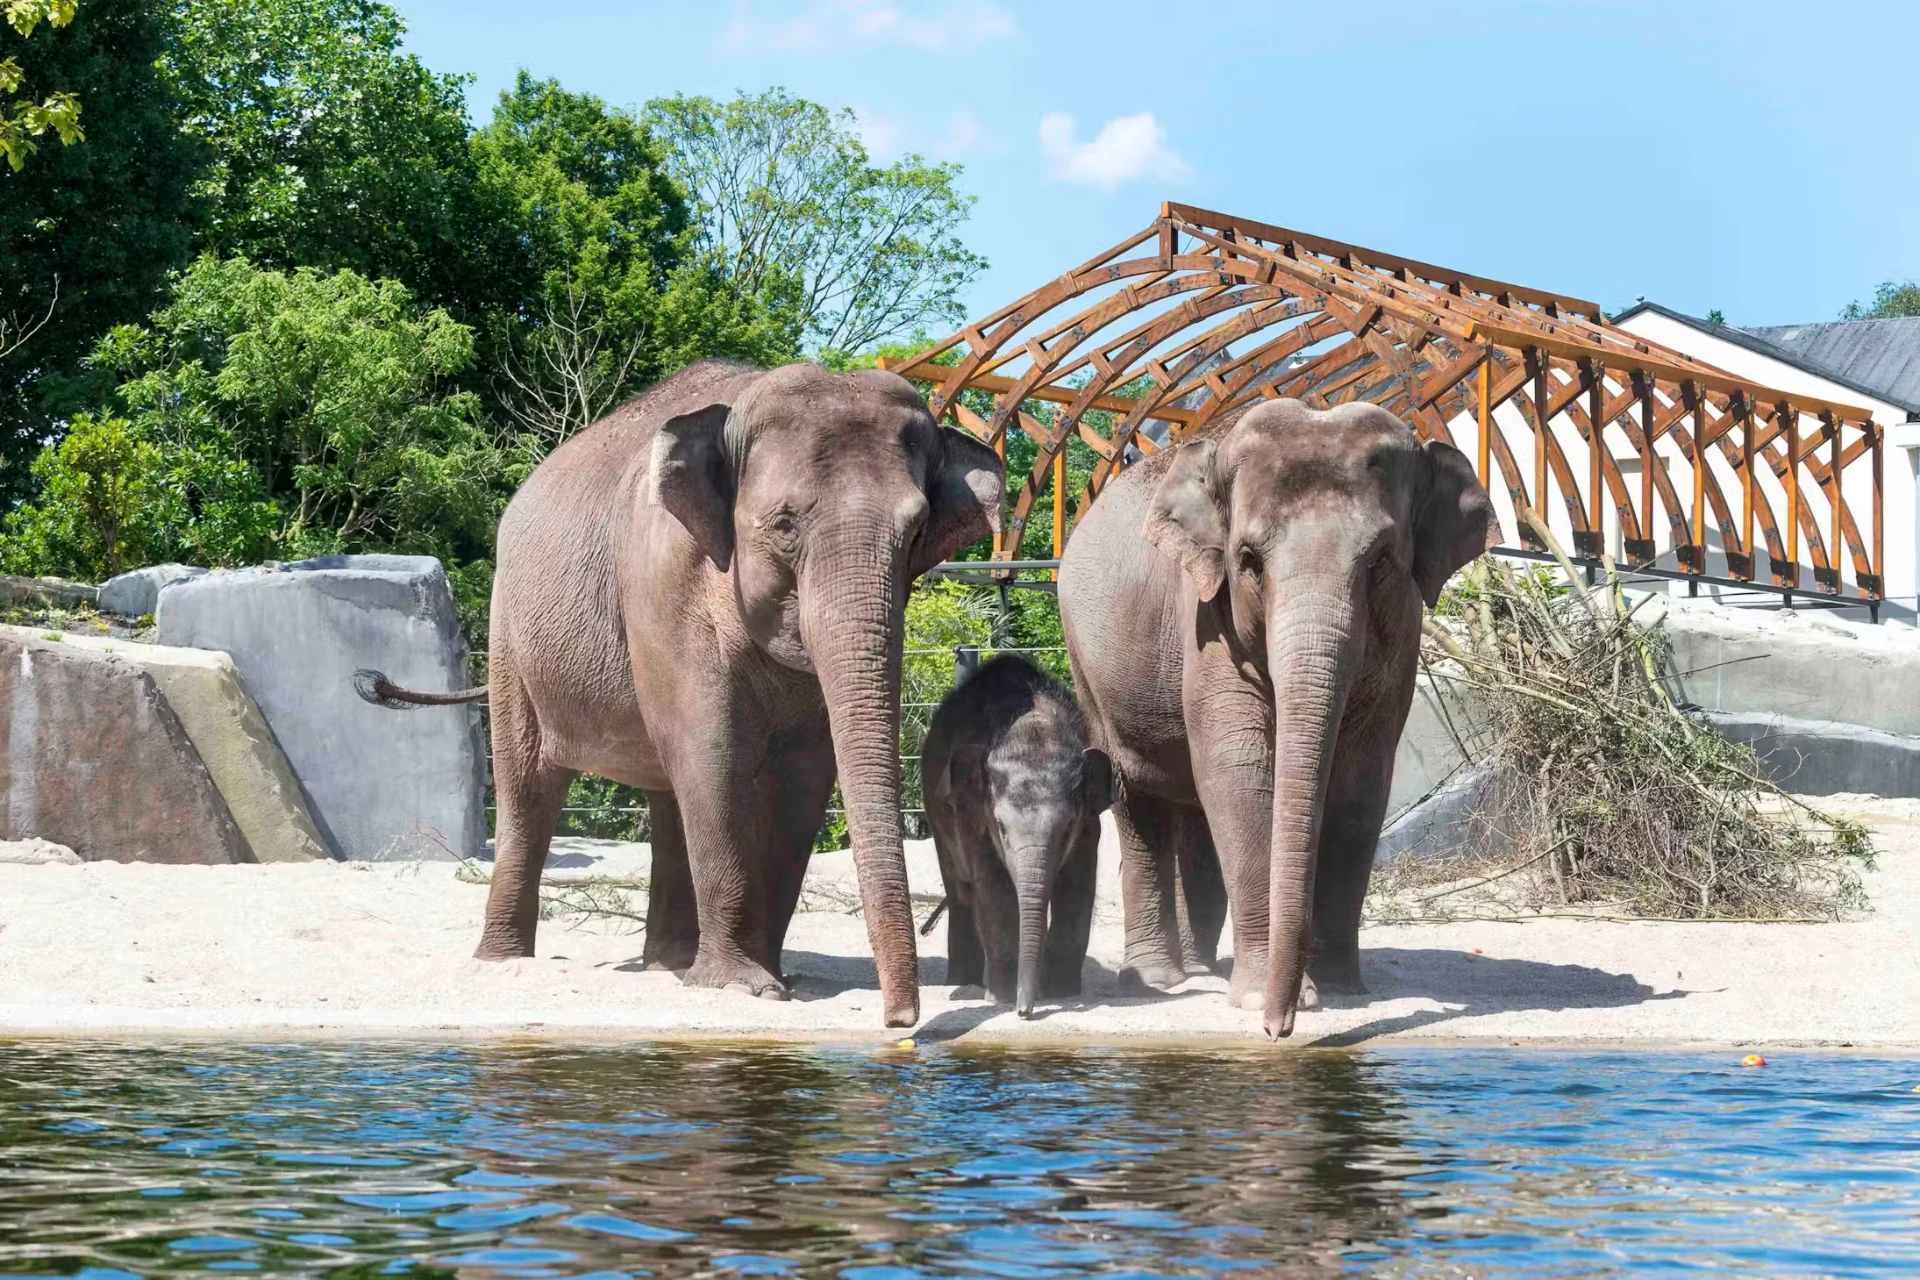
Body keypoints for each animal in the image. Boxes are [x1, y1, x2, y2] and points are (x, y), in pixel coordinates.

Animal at [362, 360, 1004, 1028]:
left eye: (918, 530)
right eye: (784, 524)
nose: (900, 1022)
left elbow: (803, 772)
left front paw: (772, 980)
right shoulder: (664, 581)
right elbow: (710, 753)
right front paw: (744, 986)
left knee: (667, 795)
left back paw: (667, 965)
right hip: (512, 637)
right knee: (530, 789)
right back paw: (506, 960)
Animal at [920, 655, 1113, 1017]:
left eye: (1068, 826)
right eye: (1001, 829)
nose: (1026, 1011)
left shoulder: (1089, 825)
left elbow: (1077, 883)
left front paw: (1062, 993)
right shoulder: (972, 816)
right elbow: (995, 889)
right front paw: (1003, 999)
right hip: (936, 812)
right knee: (960, 891)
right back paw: (962, 981)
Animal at [1059, 398, 1491, 1038]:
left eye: (1382, 560)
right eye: (1248, 561)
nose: (1277, 1028)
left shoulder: (1404, 634)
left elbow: (1362, 780)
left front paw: (1341, 990)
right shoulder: (1205, 616)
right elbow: (1238, 770)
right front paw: (1267, 997)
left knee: (1194, 812)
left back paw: (1201, 967)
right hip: (1087, 664)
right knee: (1138, 796)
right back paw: (1157, 981)